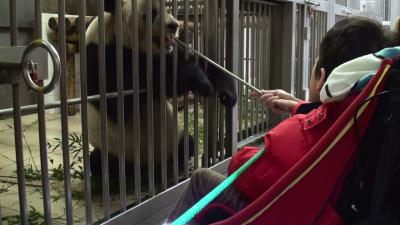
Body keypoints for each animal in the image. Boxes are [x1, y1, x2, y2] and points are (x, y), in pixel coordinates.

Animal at [86, 0, 236, 184]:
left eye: (167, 9)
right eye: (152, 13)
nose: (174, 25)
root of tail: (154, 164)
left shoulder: (169, 51)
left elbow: (201, 62)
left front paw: (227, 93)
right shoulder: (100, 58)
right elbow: (120, 97)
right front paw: (199, 80)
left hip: (175, 137)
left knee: (188, 142)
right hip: (116, 149)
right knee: (102, 163)